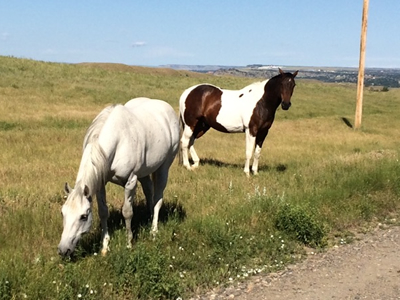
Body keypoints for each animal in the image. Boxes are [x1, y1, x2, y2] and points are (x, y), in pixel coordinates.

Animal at [57, 97, 180, 256]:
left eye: (83, 216)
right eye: (62, 213)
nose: (63, 250)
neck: (118, 140)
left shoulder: (131, 181)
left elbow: (127, 212)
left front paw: (129, 243)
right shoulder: (100, 183)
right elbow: (103, 212)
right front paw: (104, 246)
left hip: (163, 168)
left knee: (158, 199)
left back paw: (153, 231)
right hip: (145, 173)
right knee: (149, 192)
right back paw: (150, 217)